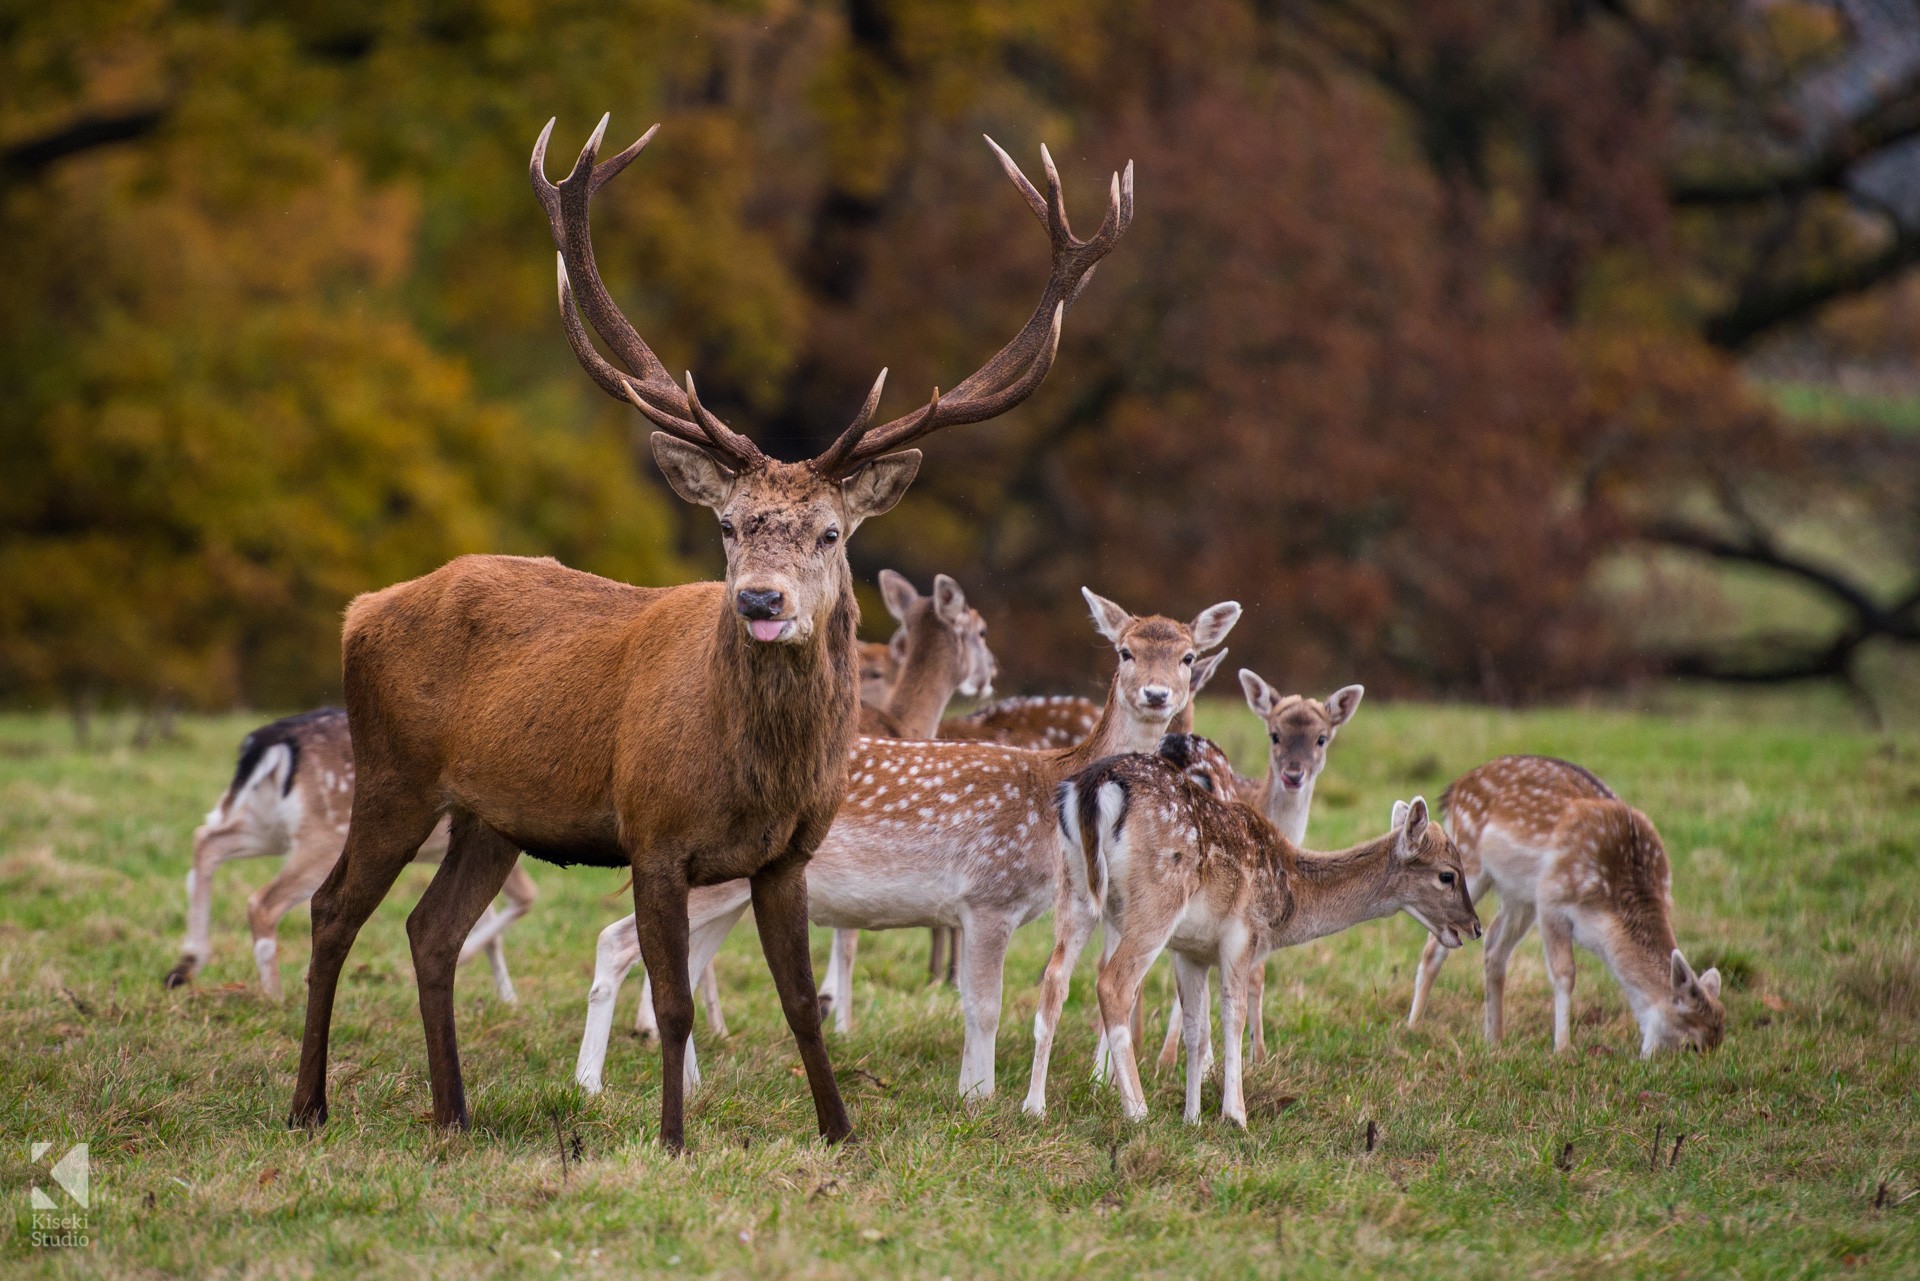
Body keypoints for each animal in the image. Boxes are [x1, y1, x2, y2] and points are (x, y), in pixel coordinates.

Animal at [164, 709, 536, 1003]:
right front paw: (481, 972)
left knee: (206, 839)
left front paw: (508, 1001)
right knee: (262, 900)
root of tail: (273, 741)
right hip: (324, 837)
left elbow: (490, 930)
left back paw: (187, 963)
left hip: (268, 823)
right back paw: (275, 996)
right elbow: (526, 897)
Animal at [282, 115, 1132, 1153]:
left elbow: (803, 1000)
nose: (762, 602)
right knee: (332, 909)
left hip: (491, 815)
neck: (752, 774)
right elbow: (676, 1001)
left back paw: (454, 1114)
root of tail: (361, 609)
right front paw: (673, 1136)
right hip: (393, 772)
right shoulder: (653, 835)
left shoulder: (789, 853)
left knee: (429, 929)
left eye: (830, 532)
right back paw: (310, 1104)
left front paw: (840, 1131)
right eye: (728, 524)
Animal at [575, 589, 1238, 1100]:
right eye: (1125, 650)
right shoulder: (990, 894)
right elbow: (987, 1006)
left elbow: (970, 1002)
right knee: (613, 941)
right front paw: (980, 1100)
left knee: (680, 964)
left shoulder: (974, 910)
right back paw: (589, 1085)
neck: (1050, 788)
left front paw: (970, 1092)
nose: (1156, 695)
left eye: (1187, 655)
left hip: (726, 887)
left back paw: (691, 1086)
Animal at [1024, 734, 1480, 1124]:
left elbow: (1196, 1028)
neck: (1285, 899)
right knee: (1113, 983)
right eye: (1447, 874)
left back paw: (1034, 1107)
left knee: (1055, 978)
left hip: (1073, 889)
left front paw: (1192, 1118)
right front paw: (1235, 1115)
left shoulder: (1190, 950)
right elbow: (1233, 1017)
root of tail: (1093, 786)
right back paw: (1137, 1112)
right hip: (1156, 899)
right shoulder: (1241, 934)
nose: (1473, 926)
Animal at [1403, 755, 1726, 1057]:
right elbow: (1565, 973)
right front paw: (1563, 1049)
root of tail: (1454, 790)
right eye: (1692, 1045)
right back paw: (1413, 1027)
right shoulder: (1552, 898)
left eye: (1718, 1041)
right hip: (1469, 860)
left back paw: (1495, 1039)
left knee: (1494, 945)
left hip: (1520, 894)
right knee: (1436, 945)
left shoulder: (1541, 898)